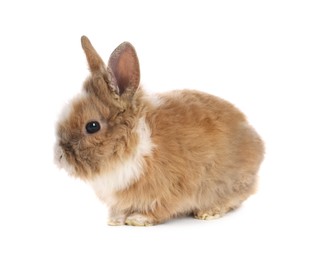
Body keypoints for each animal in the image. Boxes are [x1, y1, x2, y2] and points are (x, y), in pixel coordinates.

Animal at [55, 35, 264, 226]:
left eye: (92, 126)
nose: (59, 156)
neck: (137, 140)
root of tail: (258, 143)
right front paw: (115, 220)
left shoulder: (170, 188)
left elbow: (158, 208)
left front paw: (138, 219)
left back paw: (208, 212)